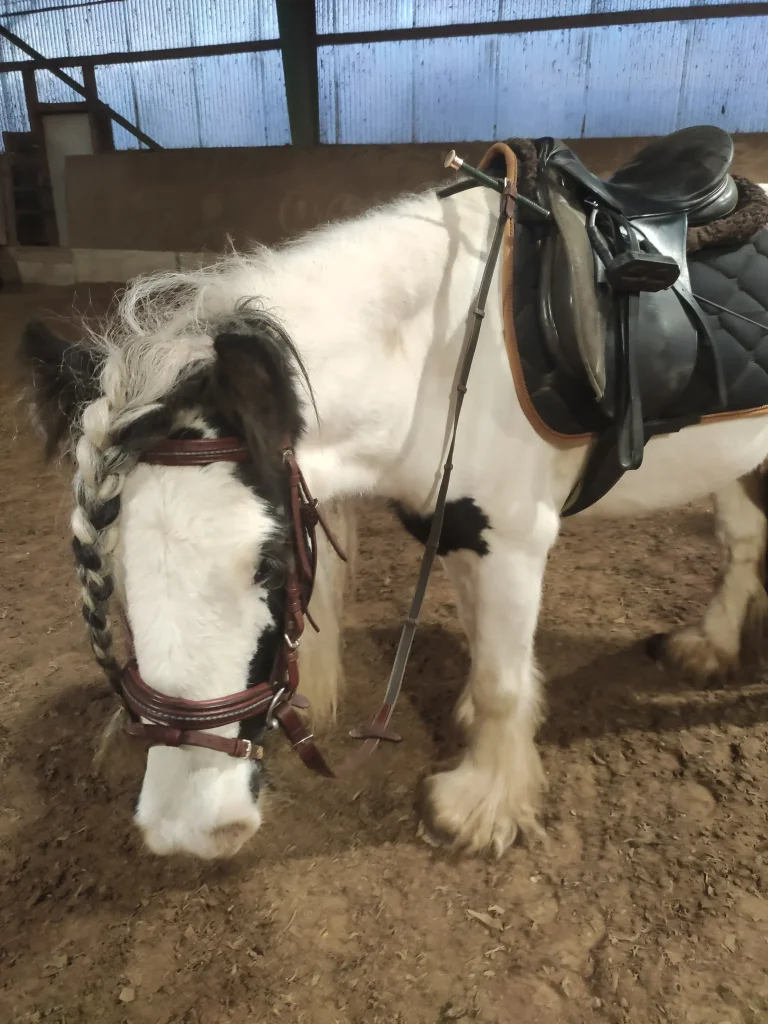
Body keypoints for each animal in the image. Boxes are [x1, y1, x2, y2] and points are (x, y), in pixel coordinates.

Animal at [19, 130, 768, 860]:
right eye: (110, 573)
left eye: (271, 564)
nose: (189, 828)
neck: (437, 351)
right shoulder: (460, 532)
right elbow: (484, 648)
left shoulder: (514, 540)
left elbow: (501, 682)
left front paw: (482, 808)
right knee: (744, 541)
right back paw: (709, 646)